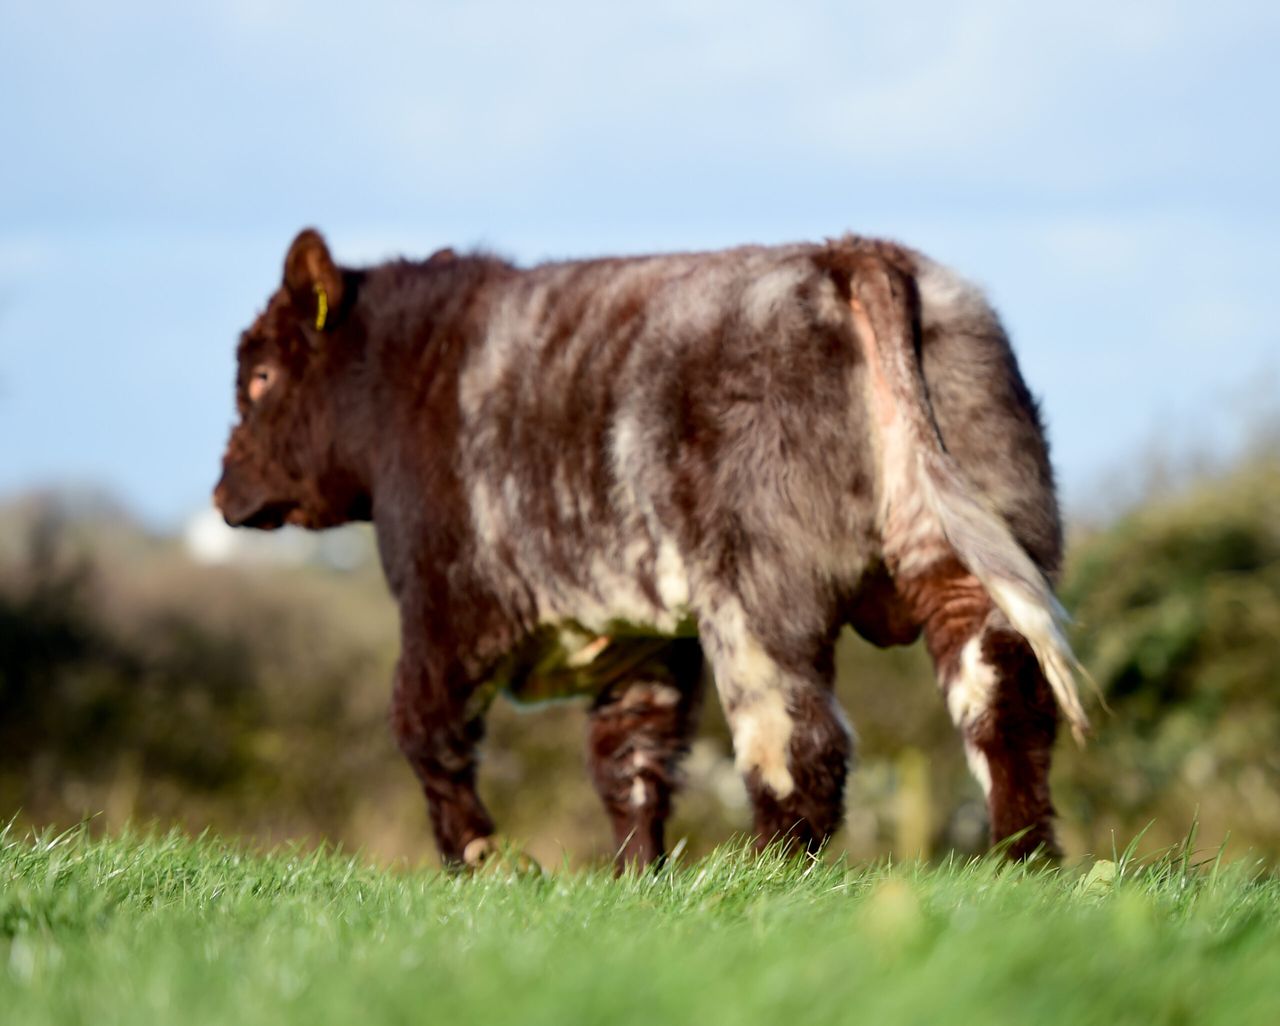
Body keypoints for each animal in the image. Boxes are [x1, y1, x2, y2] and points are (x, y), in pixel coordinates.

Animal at [214, 228, 1089, 872]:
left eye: (260, 378)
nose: (224, 492)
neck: (414, 372)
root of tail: (852, 250)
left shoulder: (445, 602)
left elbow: (427, 730)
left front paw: (482, 861)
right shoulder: (640, 639)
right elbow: (632, 760)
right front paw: (639, 878)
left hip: (756, 591)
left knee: (797, 743)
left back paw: (766, 877)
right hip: (980, 541)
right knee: (1008, 705)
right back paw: (1024, 863)